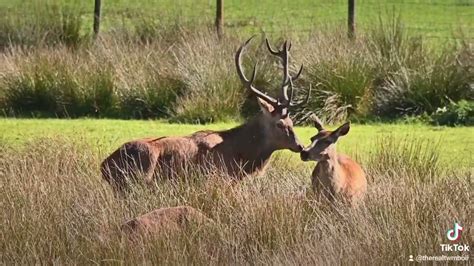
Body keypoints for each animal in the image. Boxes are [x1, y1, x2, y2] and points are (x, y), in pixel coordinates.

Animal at [100, 37, 312, 194]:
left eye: (292, 121)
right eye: (280, 124)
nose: (300, 146)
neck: (240, 158)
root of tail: (104, 166)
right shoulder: (217, 179)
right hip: (138, 179)